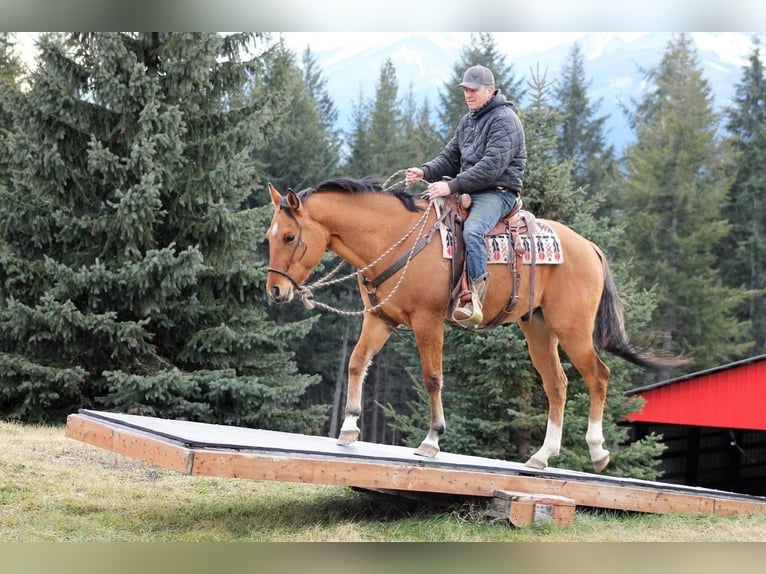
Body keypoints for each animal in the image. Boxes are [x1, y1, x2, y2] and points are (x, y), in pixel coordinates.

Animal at [265, 176, 685, 473]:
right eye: (269, 236)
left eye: (289, 236)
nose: (275, 290)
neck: (394, 239)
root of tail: (589, 247)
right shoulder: (379, 318)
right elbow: (356, 363)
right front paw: (349, 429)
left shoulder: (427, 321)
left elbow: (432, 377)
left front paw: (432, 440)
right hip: (538, 329)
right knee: (557, 385)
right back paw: (542, 456)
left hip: (573, 329)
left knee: (598, 376)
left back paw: (597, 451)